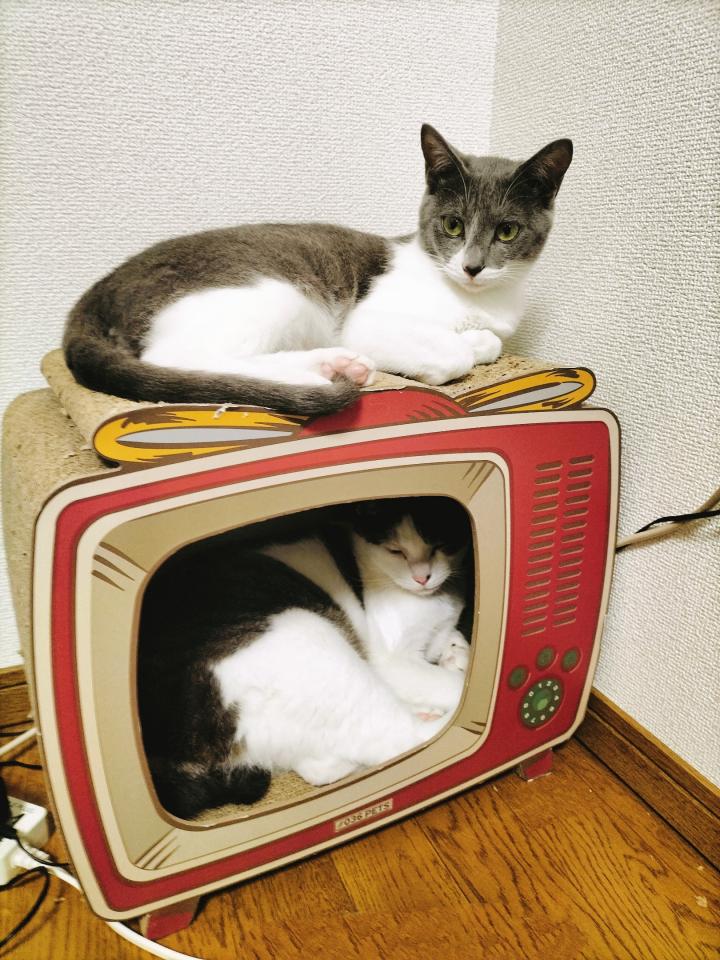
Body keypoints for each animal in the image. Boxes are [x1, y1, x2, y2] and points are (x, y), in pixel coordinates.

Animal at [64, 125, 572, 414]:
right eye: (453, 225)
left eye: (507, 231)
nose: (472, 267)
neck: (476, 300)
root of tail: (97, 292)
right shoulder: (367, 319)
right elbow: (454, 355)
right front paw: (455, 350)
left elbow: (489, 343)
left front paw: (477, 339)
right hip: (279, 290)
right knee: (178, 358)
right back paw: (312, 379)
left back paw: (335, 365)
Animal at [138, 497, 472, 819]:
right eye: (396, 551)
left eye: (440, 545)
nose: (422, 577)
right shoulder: (392, 661)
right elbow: (452, 685)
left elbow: (451, 642)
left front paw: (458, 653)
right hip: (310, 640)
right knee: (402, 738)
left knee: (320, 765)